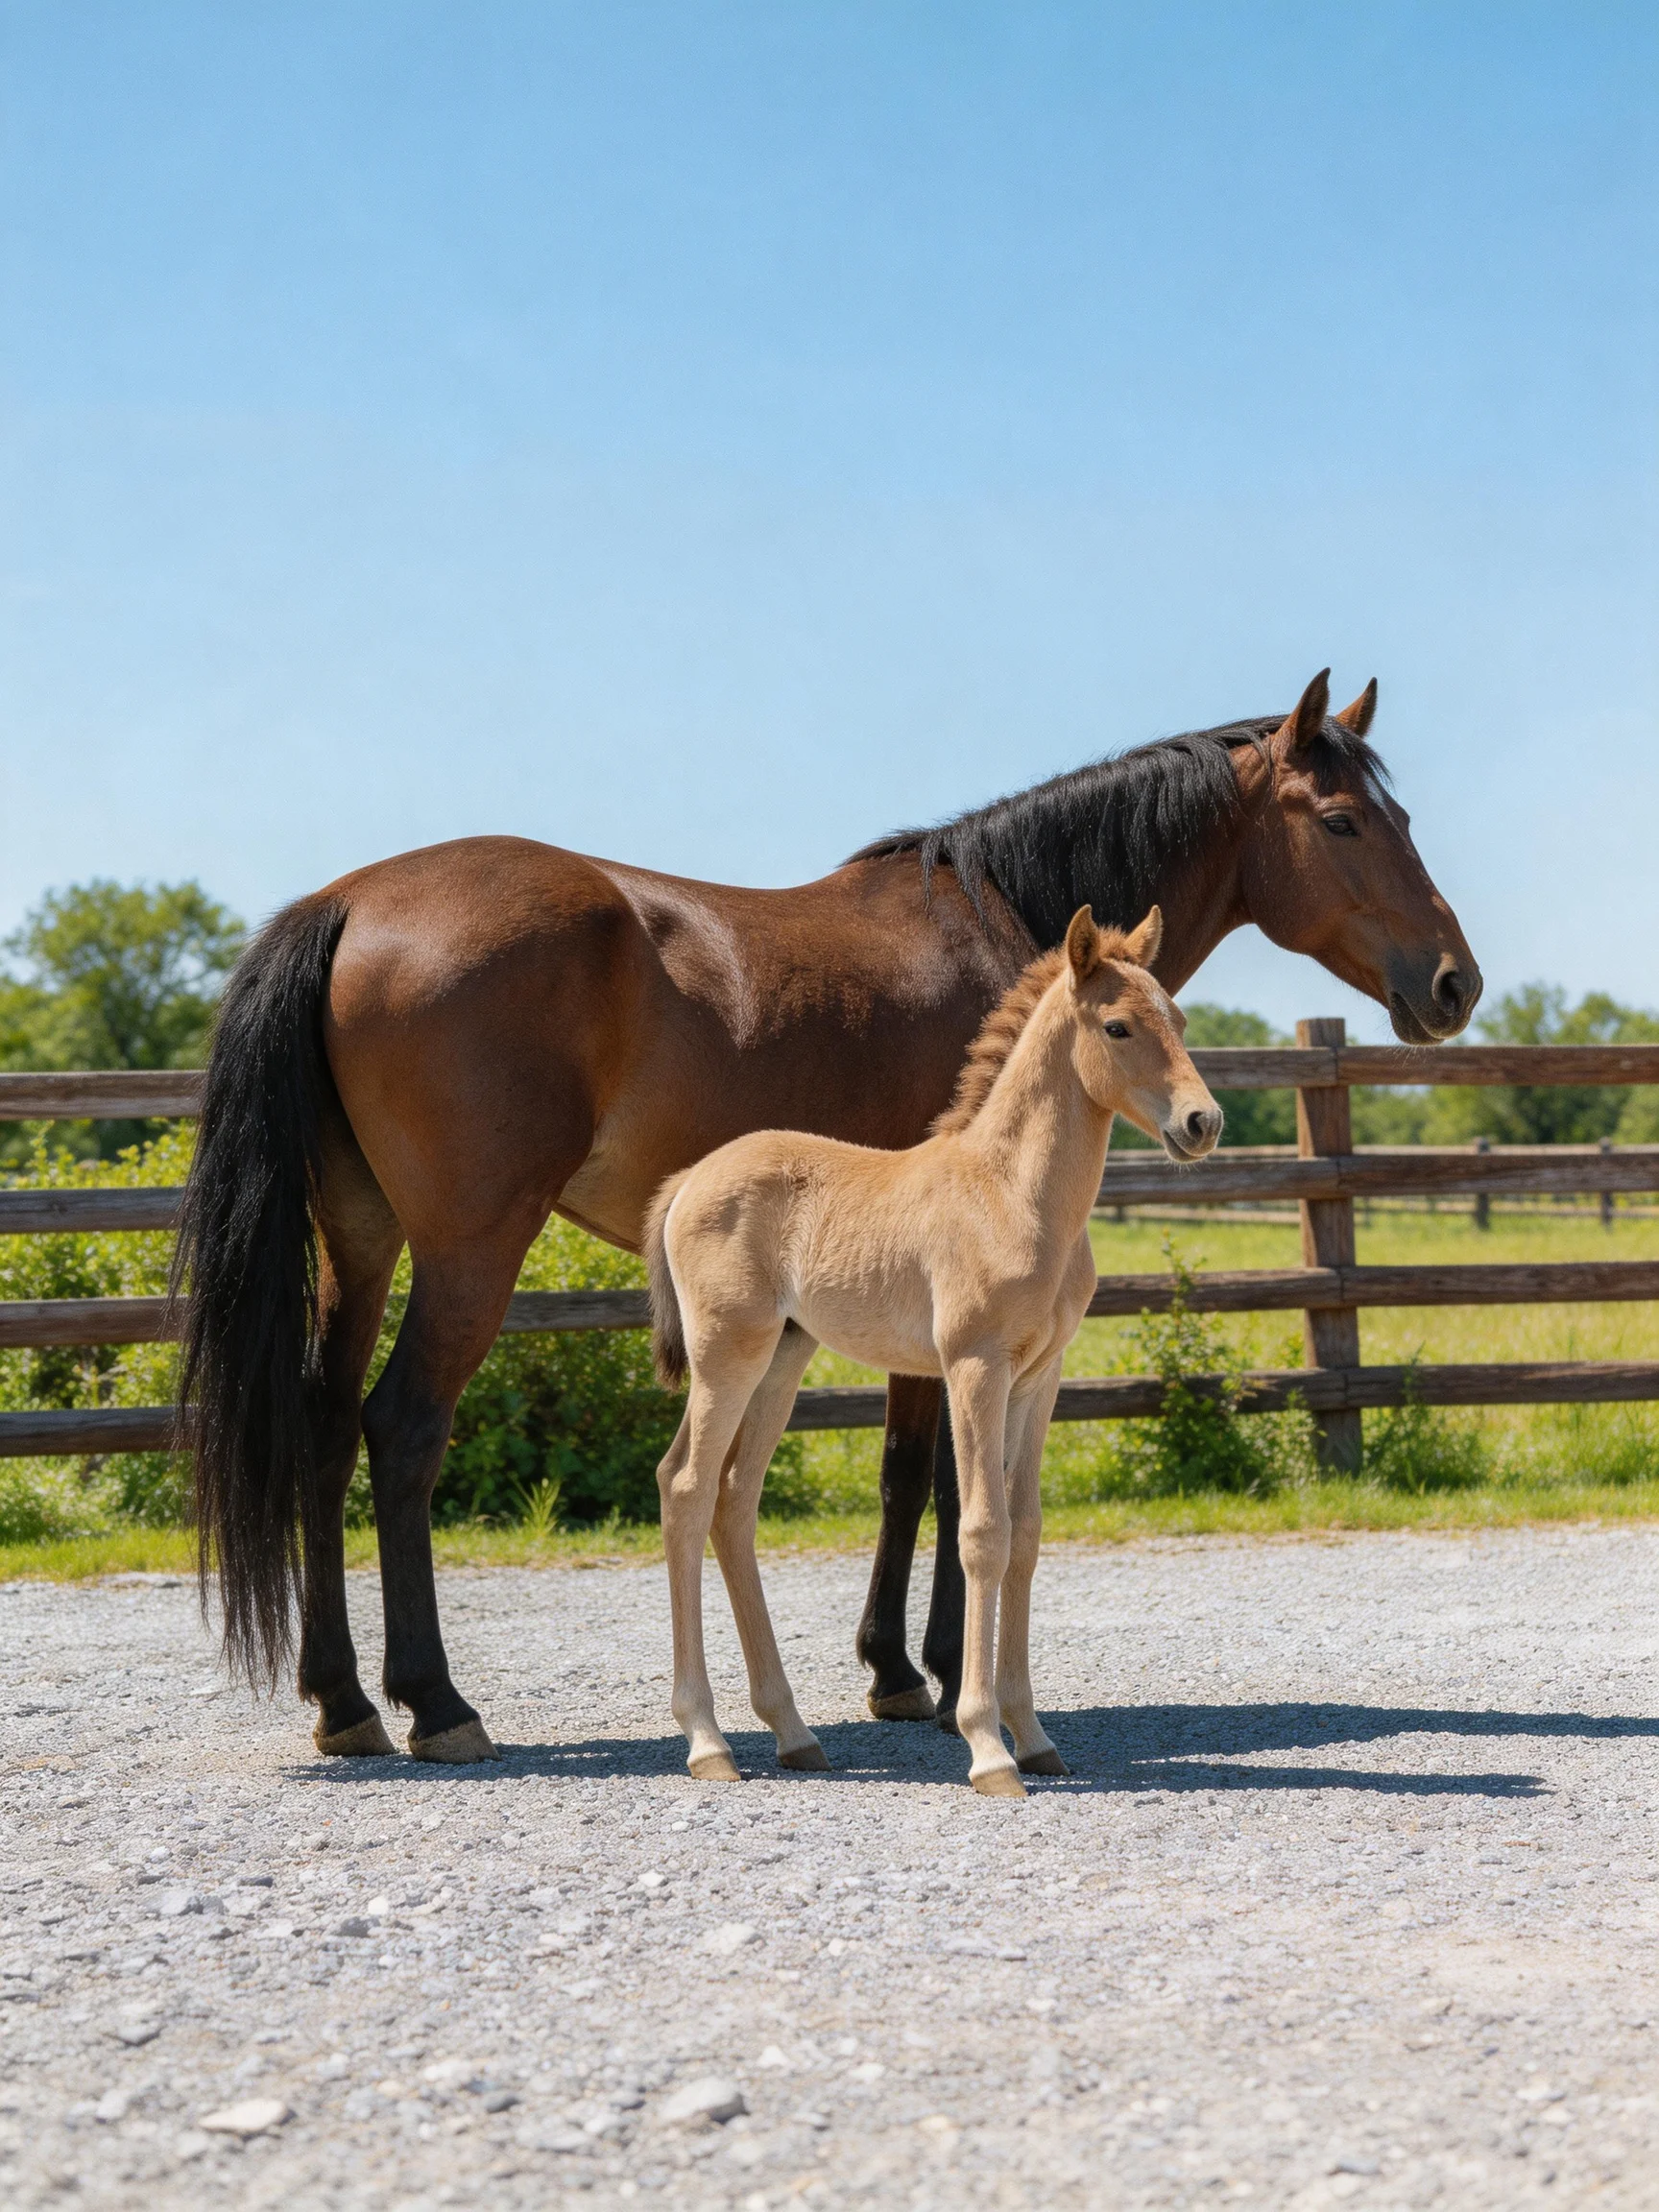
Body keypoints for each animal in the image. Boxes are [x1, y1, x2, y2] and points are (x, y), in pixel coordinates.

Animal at [644, 904, 1219, 1795]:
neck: (1012, 1194)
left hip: (782, 1360)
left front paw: (1035, 1736)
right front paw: (987, 1747)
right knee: (686, 1487)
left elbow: (1026, 1533)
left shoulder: (1040, 1378)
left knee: (735, 1500)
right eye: (1118, 1026)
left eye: (1180, 1020)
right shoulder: (973, 1367)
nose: (1202, 1123)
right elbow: (982, 1532)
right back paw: (707, 1742)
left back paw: (794, 1733)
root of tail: (687, 1183)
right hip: (725, 1357)